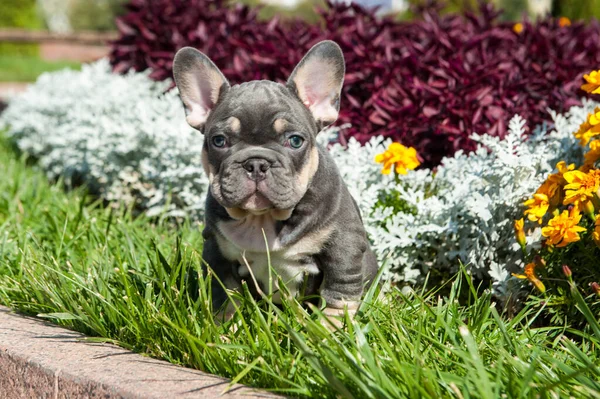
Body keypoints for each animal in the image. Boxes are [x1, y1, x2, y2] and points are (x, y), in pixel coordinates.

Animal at [173, 39, 378, 318]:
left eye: (295, 141)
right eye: (219, 141)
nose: (256, 163)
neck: (262, 218)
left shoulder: (343, 247)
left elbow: (338, 298)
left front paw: (330, 328)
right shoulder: (217, 251)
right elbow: (225, 298)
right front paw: (224, 327)